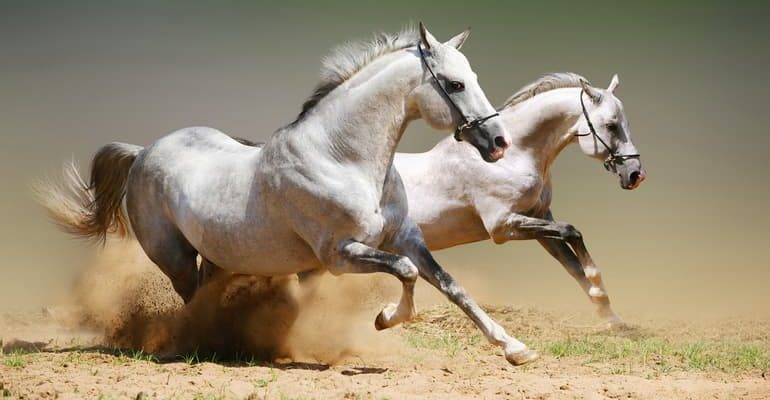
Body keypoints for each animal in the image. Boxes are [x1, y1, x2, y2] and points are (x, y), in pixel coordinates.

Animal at [38, 24, 541, 365]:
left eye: (472, 76)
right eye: (455, 84)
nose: (498, 142)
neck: (342, 158)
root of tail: (143, 152)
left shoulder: (405, 238)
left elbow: (451, 286)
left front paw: (515, 348)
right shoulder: (339, 255)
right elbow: (406, 273)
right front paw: (384, 318)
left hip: (219, 256)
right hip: (173, 255)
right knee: (190, 299)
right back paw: (200, 344)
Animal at [396, 73, 645, 327]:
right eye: (611, 125)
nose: (635, 174)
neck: (512, 158)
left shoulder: (540, 219)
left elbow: (572, 264)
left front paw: (612, 318)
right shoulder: (502, 227)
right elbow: (571, 231)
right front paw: (597, 284)